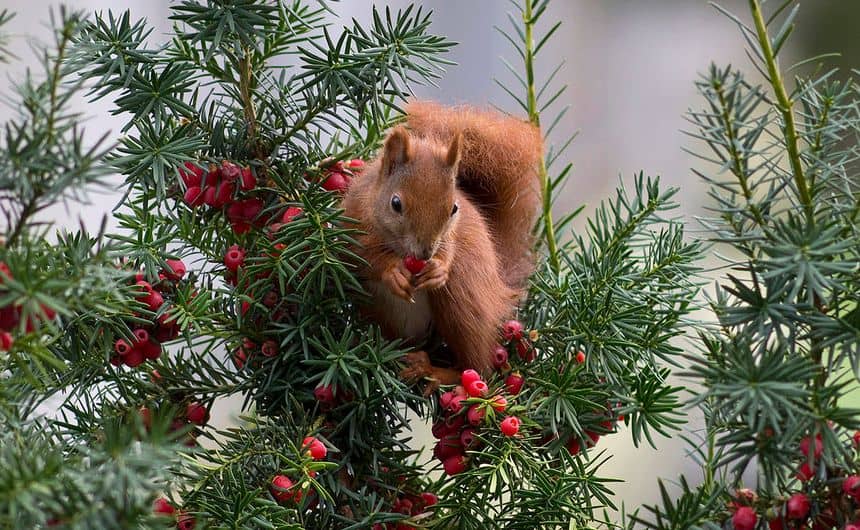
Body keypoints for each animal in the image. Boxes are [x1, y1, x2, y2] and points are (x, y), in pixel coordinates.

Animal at [340, 101, 540, 386]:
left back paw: (432, 370)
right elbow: (362, 254)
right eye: (396, 203)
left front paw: (439, 269)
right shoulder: (351, 220)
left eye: (454, 208)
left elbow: (450, 246)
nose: (425, 253)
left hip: (461, 299)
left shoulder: (450, 239)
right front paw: (392, 271)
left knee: (477, 366)